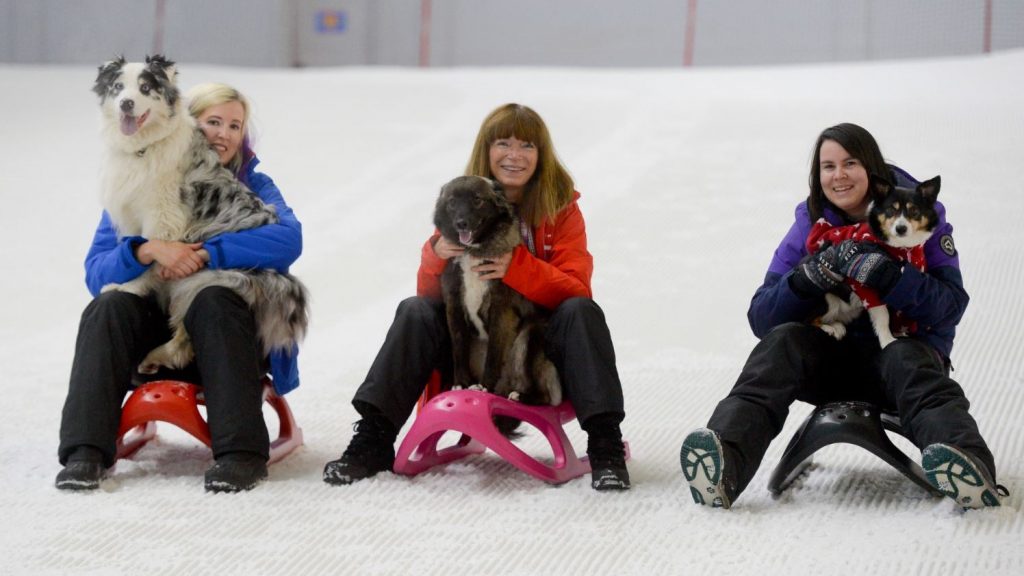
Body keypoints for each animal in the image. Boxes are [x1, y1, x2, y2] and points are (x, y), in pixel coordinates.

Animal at [806, 172, 942, 348]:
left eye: (914, 211)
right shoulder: (864, 286)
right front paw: (887, 340)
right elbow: (883, 315)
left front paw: (900, 332)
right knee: (809, 320)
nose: (901, 228)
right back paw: (831, 328)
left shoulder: (902, 282)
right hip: (826, 297)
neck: (901, 247)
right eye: (891, 209)